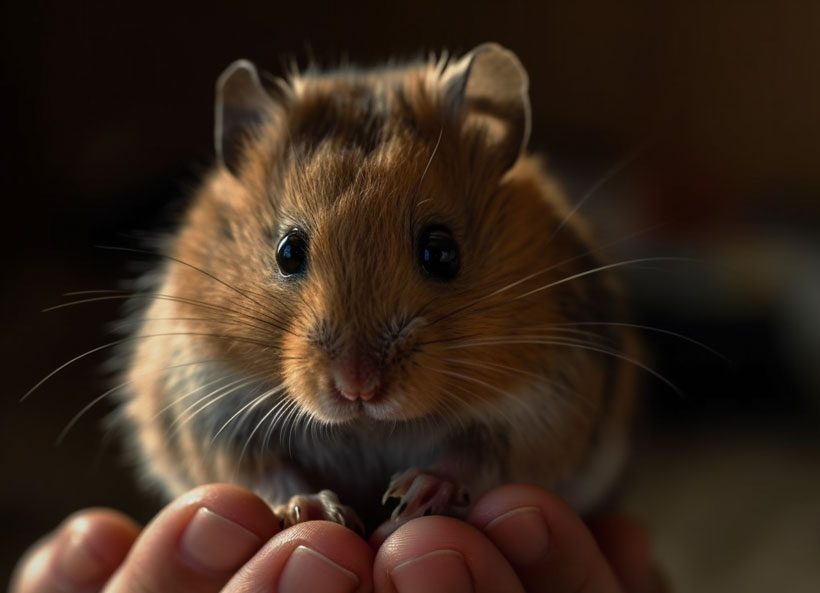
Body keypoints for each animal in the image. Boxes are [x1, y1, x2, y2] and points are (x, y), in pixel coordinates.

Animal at [117, 44, 640, 536]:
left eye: (441, 252)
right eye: (288, 252)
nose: (357, 387)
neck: (370, 424)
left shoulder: (550, 400)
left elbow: (478, 455)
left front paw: (418, 491)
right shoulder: (208, 403)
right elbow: (261, 471)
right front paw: (316, 508)